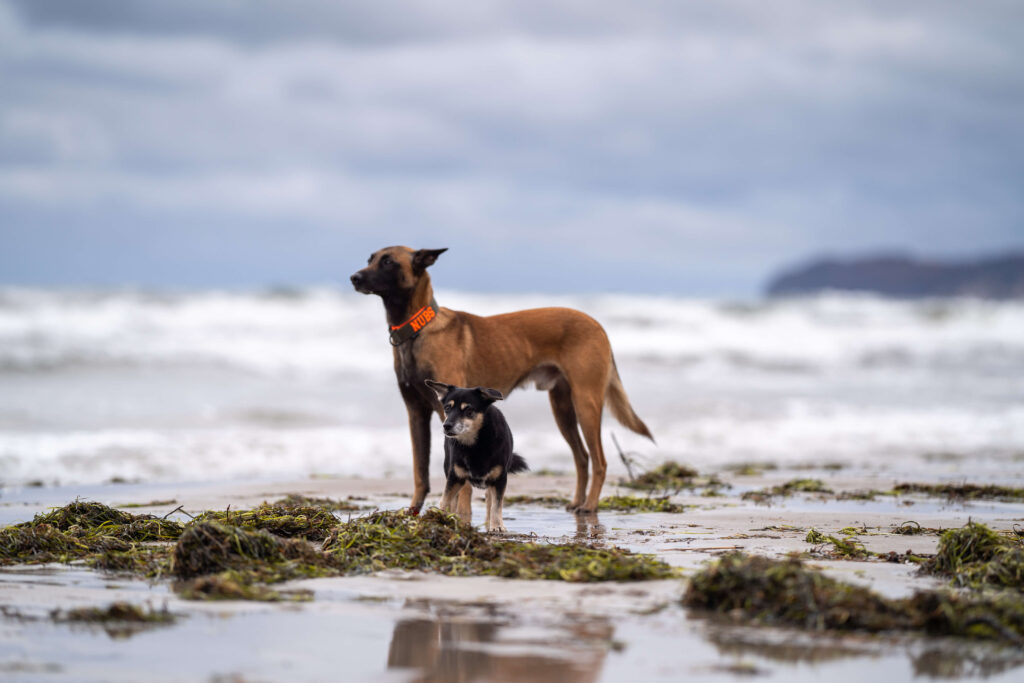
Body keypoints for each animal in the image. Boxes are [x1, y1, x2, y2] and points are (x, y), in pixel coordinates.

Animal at [352, 248, 651, 516]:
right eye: (370, 258)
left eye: (388, 261)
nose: (354, 277)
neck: (417, 330)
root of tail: (598, 325)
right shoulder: (417, 413)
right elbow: (420, 471)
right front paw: (415, 511)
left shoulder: (453, 419)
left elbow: (462, 485)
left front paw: (460, 518)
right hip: (562, 408)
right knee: (582, 458)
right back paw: (578, 502)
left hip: (585, 402)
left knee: (599, 460)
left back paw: (589, 506)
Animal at [423, 378, 528, 532]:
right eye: (447, 408)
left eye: (469, 410)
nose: (446, 426)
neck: (475, 445)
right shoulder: (455, 477)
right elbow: (445, 499)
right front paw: (438, 519)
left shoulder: (500, 479)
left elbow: (496, 505)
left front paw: (497, 526)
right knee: (455, 500)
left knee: (489, 499)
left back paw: (488, 522)